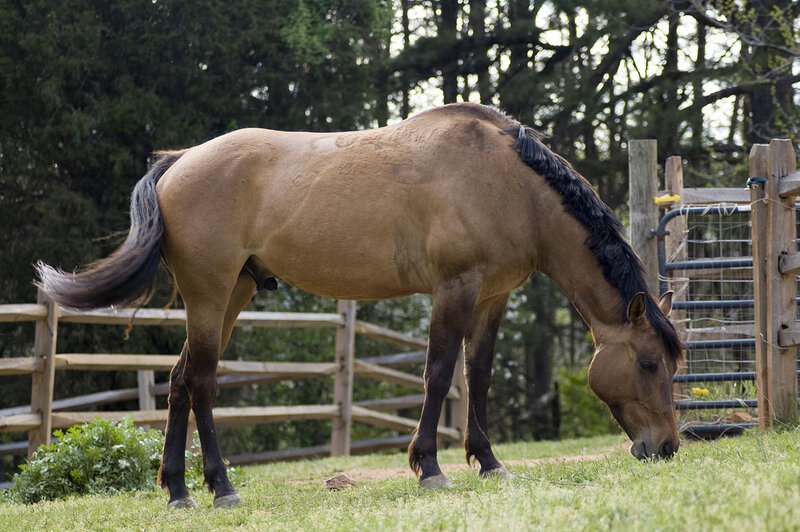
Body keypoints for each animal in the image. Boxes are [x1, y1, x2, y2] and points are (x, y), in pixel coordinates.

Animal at [36, 102, 682, 508]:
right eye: (648, 363)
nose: (668, 447)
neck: (509, 183)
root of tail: (179, 162)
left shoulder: (494, 296)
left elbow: (477, 374)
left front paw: (489, 460)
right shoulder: (454, 289)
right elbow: (439, 373)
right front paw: (430, 467)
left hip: (233, 294)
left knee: (177, 380)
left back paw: (177, 490)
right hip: (210, 294)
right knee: (200, 382)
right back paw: (220, 488)